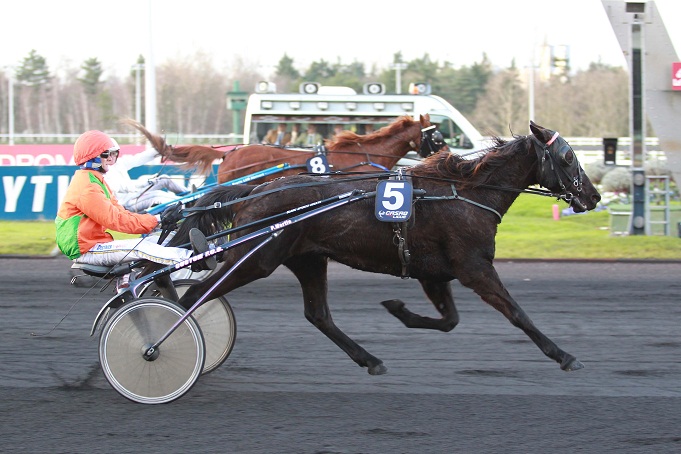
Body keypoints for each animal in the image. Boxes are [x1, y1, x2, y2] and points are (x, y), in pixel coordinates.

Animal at [170, 120, 600, 376]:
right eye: (567, 157)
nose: (593, 196)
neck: (466, 194)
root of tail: (253, 190)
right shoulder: (474, 267)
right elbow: (517, 313)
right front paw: (564, 355)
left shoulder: (434, 272)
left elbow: (449, 320)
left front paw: (398, 310)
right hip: (256, 259)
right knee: (194, 294)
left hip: (307, 260)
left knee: (318, 315)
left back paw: (370, 359)